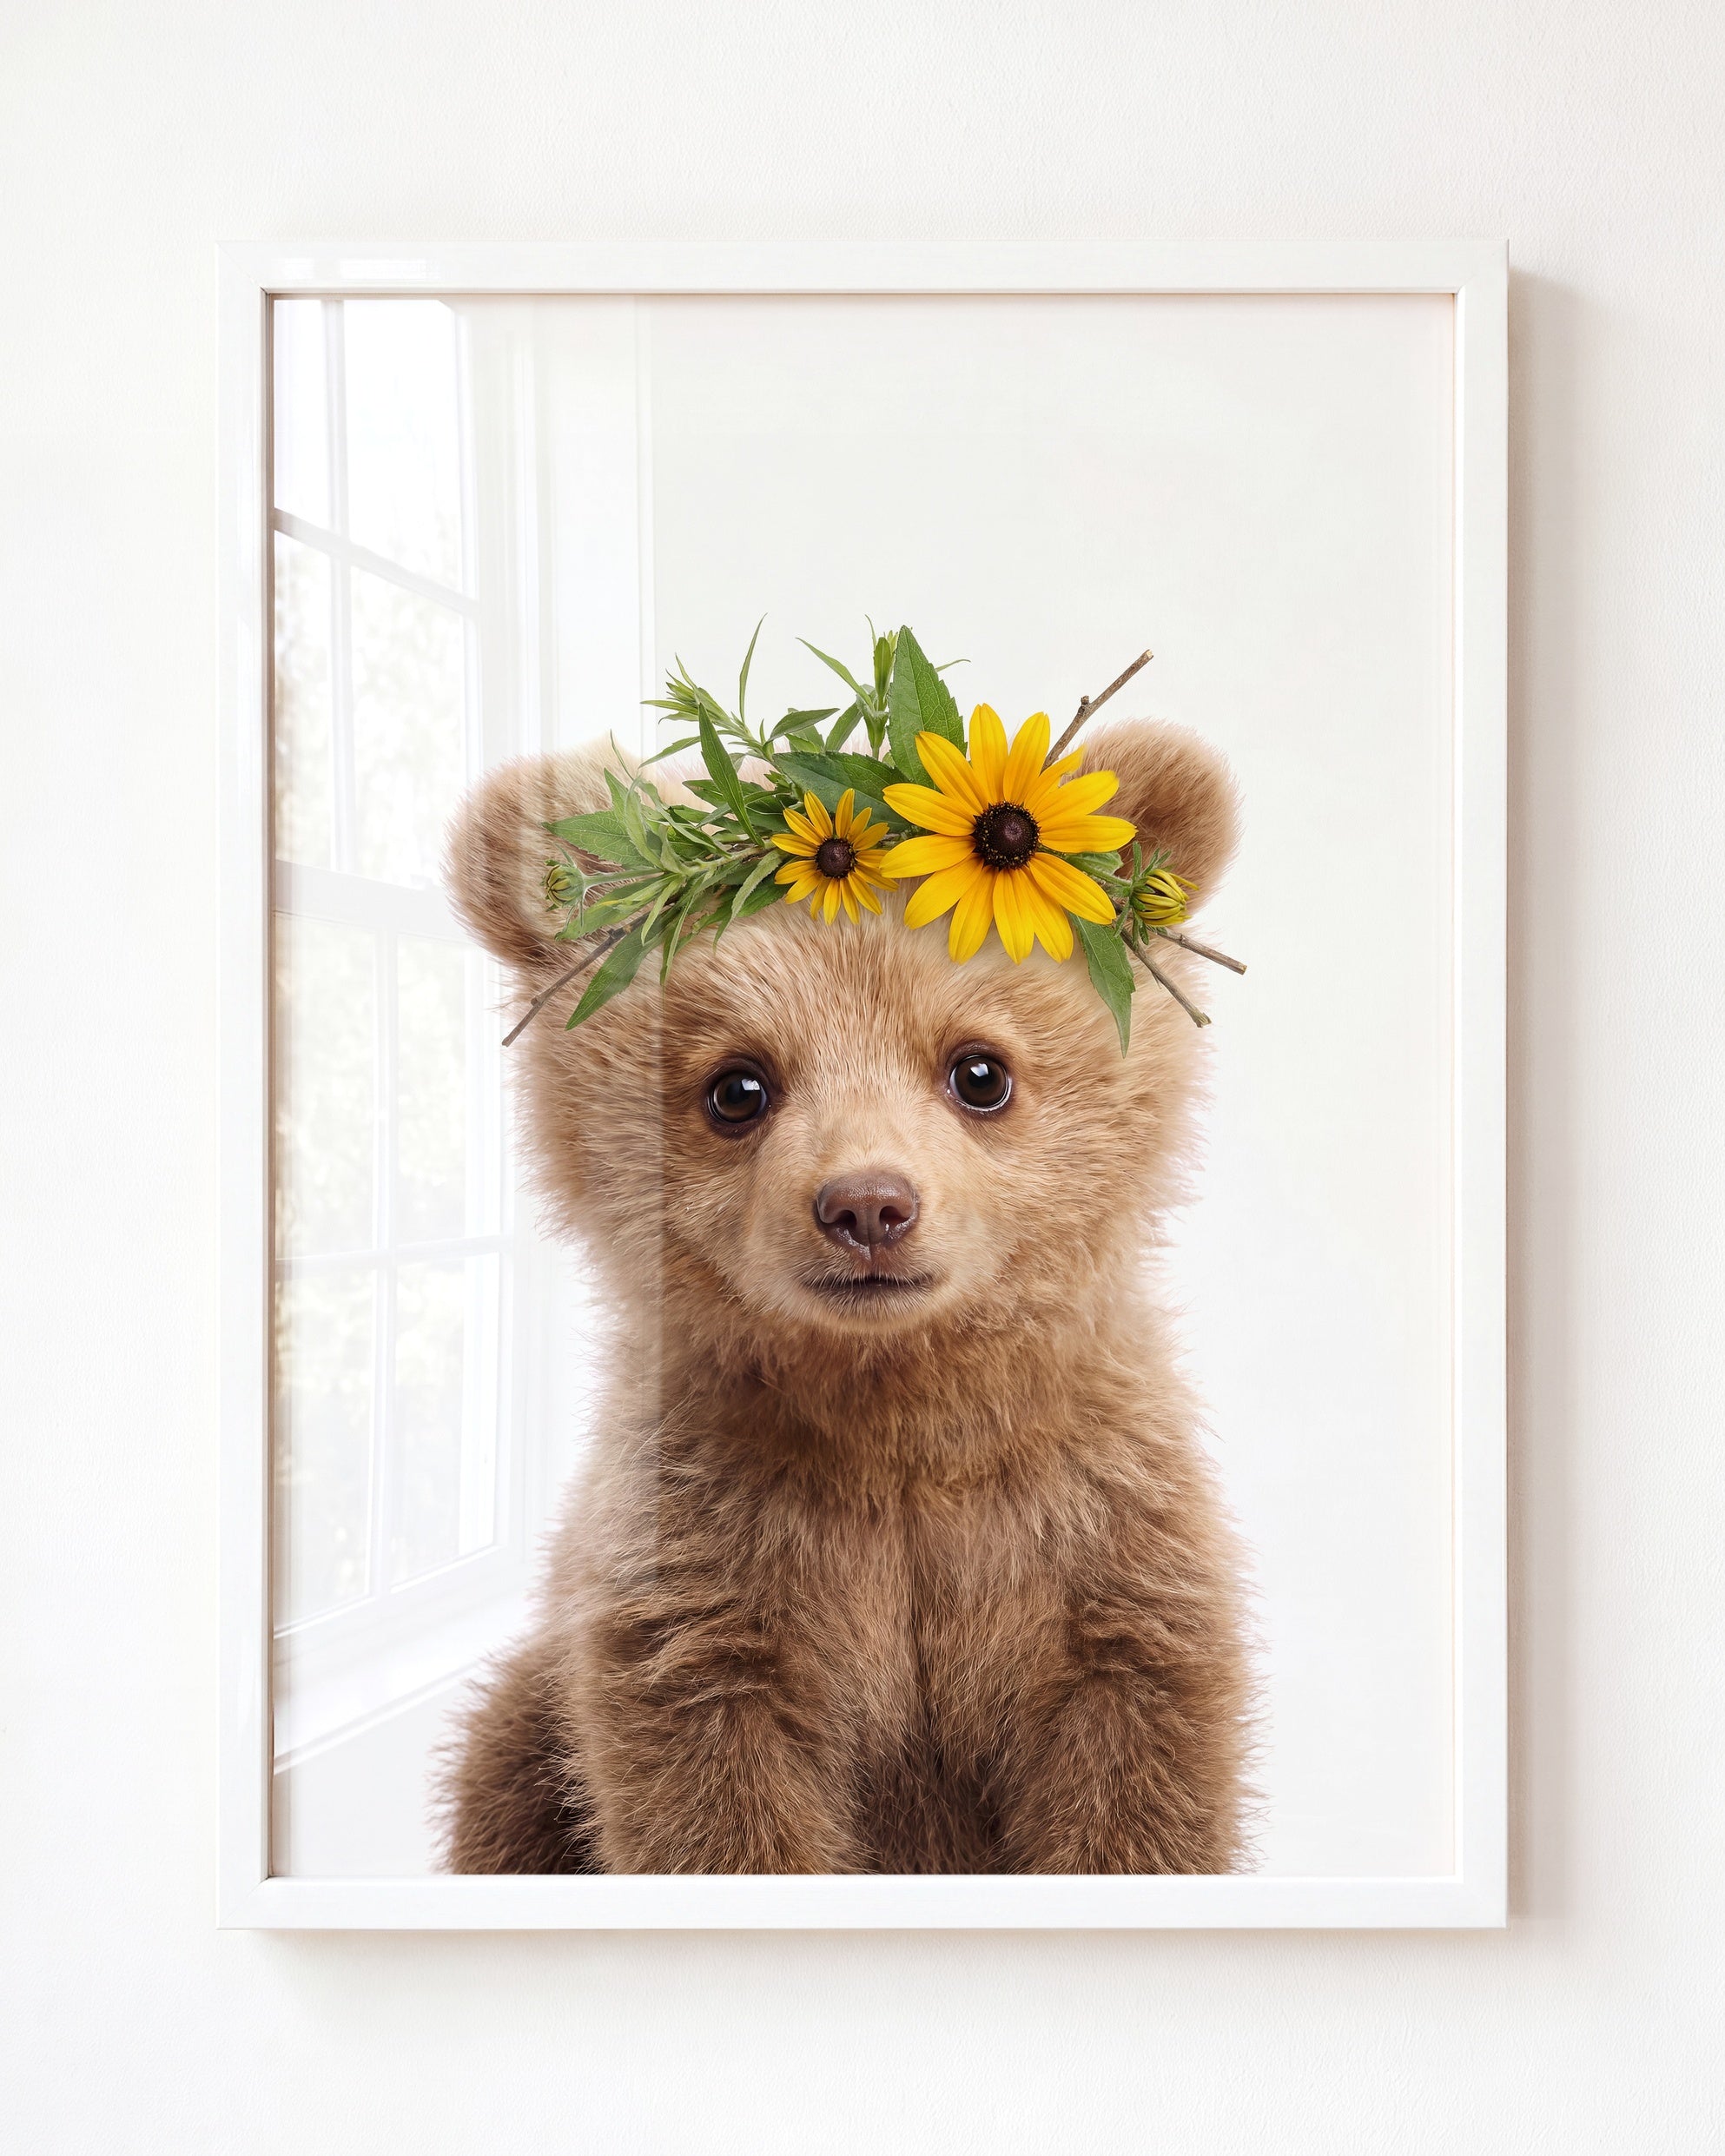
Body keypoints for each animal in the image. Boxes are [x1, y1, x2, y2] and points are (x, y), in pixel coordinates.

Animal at [435, 716, 1256, 1874]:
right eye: (737, 1086)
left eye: (980, 1070)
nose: (868, 1205)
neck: (897, 1413)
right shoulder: (707, 1577)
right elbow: (715, 1804)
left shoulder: (1097, 1549)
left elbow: (1136, 1789)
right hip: (527, 1729)